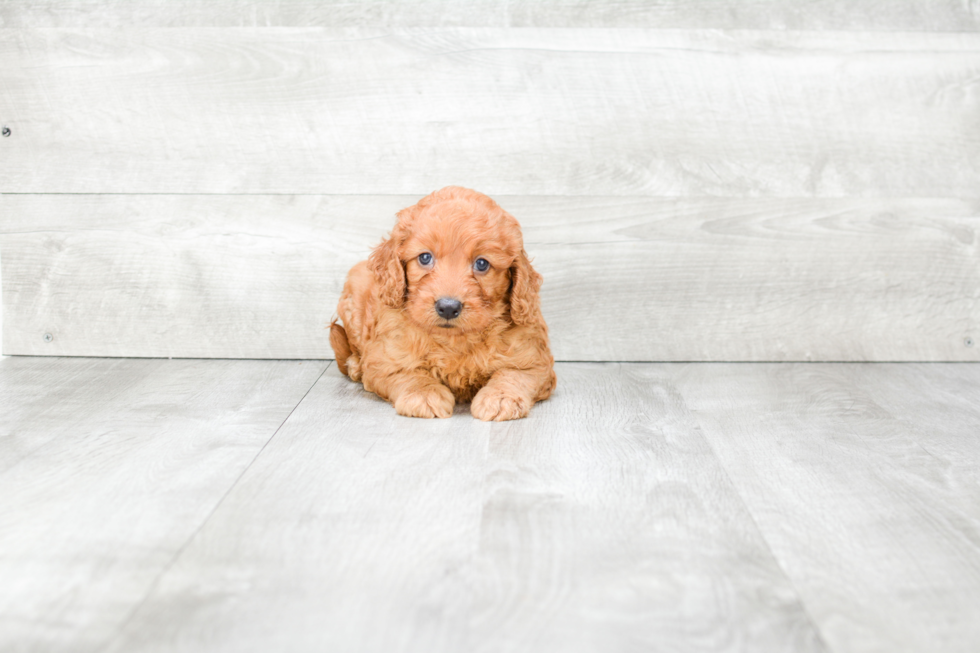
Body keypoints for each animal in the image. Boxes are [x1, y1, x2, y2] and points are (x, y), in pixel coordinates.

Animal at [332, 186, 556, 420]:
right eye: (425, 258)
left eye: (482, 263)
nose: (448, 307)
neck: (454, 340)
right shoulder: (385, 360)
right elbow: (408, 373)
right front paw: (423, 394)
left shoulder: (535, 361)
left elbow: (514, 374)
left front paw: (501, 397)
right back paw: (355, 366)